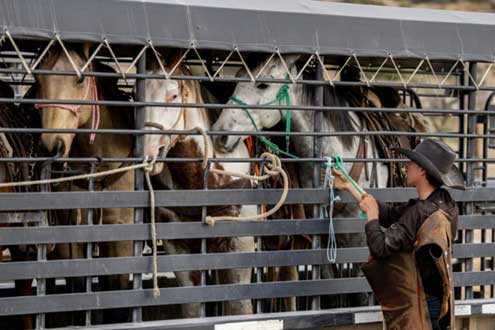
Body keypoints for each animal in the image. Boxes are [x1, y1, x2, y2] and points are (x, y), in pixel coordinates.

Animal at [140, 56, 254, 318]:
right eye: (135, 94)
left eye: (173, 95)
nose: (149, 154)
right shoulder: (178, 246)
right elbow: (192, 306)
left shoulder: (239, 242)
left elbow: (239, 307)